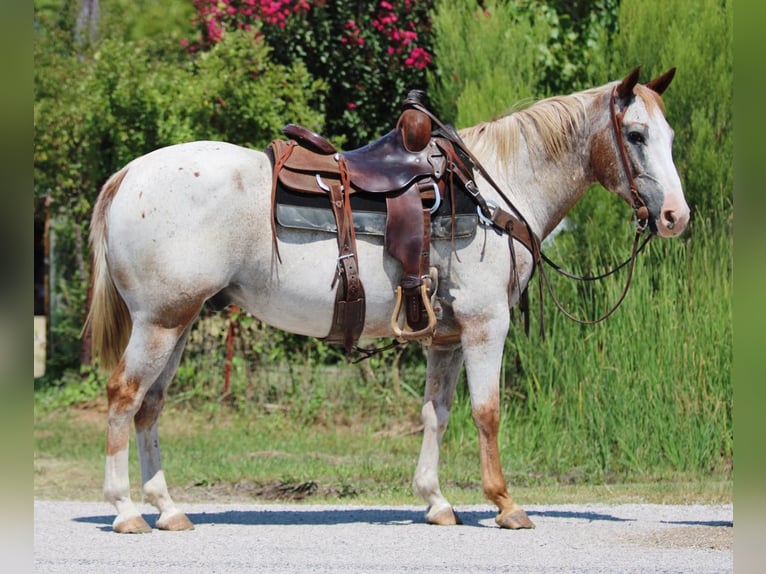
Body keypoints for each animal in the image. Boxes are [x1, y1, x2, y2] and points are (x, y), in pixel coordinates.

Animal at [85, 67, 689, 533]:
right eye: (636, 135)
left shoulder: (446, 338)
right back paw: (126, 511)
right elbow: (487, 412)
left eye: (669, 136)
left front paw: (436, 501)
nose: (675, 217)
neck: (491, 193)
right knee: (123, 397)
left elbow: (436, 413)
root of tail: (128, 174)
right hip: (160, 322)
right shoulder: (485, 325)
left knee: (150, 406)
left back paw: (168, 510)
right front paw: (506, 504)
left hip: (179, 323)